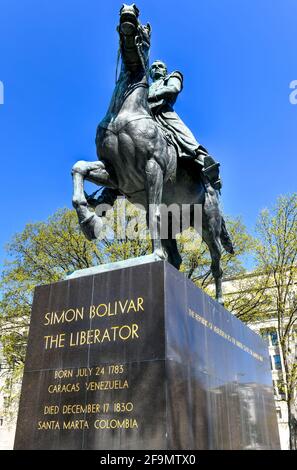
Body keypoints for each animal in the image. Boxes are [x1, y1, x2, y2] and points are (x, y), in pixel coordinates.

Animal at [70, 3, 232, 302]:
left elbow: (154, 212)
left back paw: (219, 301)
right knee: (178, 258)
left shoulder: (152, 167)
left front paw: (154, 255)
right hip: (176, 221)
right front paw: (89, 222)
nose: (128, 12)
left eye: (145, 32)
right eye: (121, 16)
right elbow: (78, 168)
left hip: (208, 222)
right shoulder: (115, 174)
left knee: (216, 261)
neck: (126, 112)